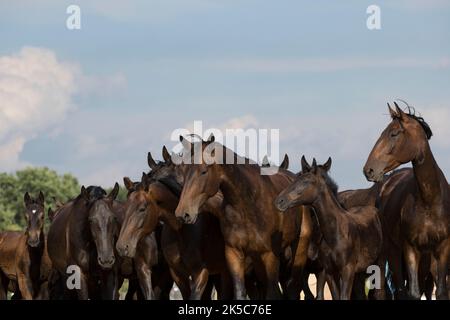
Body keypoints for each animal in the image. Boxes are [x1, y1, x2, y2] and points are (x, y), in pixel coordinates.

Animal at [174, 137, 312, 300]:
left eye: (203, 171)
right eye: (183, 171)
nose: (183, 213)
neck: (247, 206)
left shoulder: (270, 256)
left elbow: (272, 293)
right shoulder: (234, 254)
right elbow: (240, 292)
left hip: (298, 250)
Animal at [274, 158, 384, 300]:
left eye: (306, 182)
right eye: (294, 179)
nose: (279, 201)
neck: (335, 234)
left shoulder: (346, 270)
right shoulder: (330, 272)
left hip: (379, 263)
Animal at [364, 103, 450, 300]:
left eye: (394, 133)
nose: (368, 170)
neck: (429, 200)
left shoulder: (442, 249)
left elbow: (441, 291)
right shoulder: (410, 248)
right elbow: (412, 292)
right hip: (390, 252)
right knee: (389, 290)